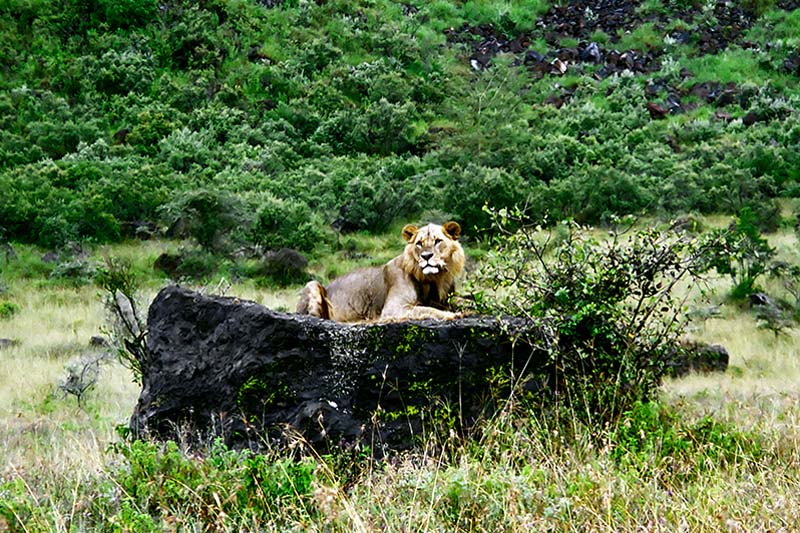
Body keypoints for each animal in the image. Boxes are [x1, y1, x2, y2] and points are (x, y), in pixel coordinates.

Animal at [296, 220, 466, 320]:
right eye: (419, 243)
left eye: (437, 241)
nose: (426, 256)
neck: (435, 279)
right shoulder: (393, 308)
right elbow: (425, 309)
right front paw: (453, 315)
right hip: (312, 284)